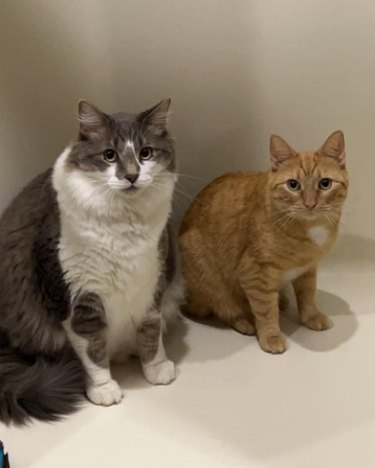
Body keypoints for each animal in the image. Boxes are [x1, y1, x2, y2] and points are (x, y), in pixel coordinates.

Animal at [0, 98, 184, 424]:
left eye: (146, 153)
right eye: (109, 155)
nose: (132, 175)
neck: (125, 225)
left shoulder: (152, 284)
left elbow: (151, 335)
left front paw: (156, 368)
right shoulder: (79, 299)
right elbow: (92, 350)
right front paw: (103, 388)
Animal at [179, 130, 350, 352]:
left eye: (325, 183)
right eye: (293, 185)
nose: (310, 204)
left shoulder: (307, 269)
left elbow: (307, 295)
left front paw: (311, 317)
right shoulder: (255, 275)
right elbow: (266, 311)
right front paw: (271, 336)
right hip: (210, 279)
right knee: (226, 309)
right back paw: (245, 322)